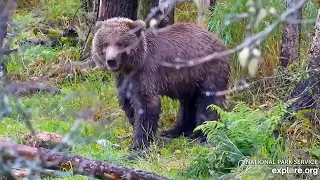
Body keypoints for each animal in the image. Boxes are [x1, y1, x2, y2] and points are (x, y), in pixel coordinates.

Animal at [91, 16, 231, 150]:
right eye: (105, 44)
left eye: (120, 43)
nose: (111, 60)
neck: (131, 66)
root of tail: (220, 40)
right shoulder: (124, 79)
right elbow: (127, 102)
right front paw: (134, 124)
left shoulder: (146, 73)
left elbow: (146, 104)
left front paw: (138, 143)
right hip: (189, 79)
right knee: (188, 103)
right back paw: (174, 131)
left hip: (209, 69)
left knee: (209, 101)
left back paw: (203, 136)